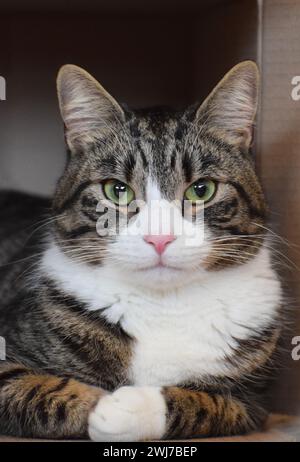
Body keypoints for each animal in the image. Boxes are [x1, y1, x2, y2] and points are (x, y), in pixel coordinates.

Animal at [0, 61, 282, 440]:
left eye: (202, 190)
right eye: (116, 190)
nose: (159, 238)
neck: (164, 305)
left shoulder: (253, 403)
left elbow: (206, 402)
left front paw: (130, 407)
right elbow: (37, 387)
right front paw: (100, 403)